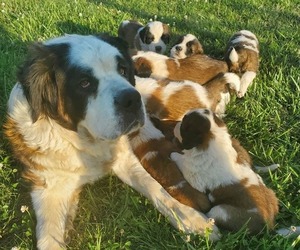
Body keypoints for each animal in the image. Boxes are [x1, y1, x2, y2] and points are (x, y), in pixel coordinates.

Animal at [4, 33, 220, 250]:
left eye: (123, 70)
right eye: (84, 83)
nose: (132, 99)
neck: (84, 140)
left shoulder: (125, 158)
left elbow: (156, 188)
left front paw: (193, 220)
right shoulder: (47, 185)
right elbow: (49, 238)